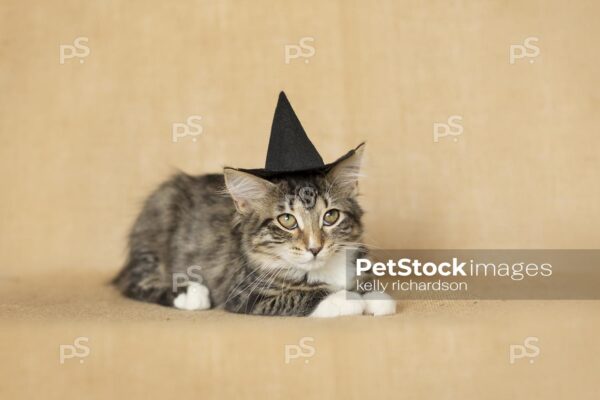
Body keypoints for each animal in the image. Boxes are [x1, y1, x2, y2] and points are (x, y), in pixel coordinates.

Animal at [112, 145, 396, 318]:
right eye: (287, 220)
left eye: (331, 216)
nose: (315, 247)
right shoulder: (244, 292)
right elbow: (303, 295)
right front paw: (346, 299)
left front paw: (375, 296)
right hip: (159, 220)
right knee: (135, 284)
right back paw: (191, 293)